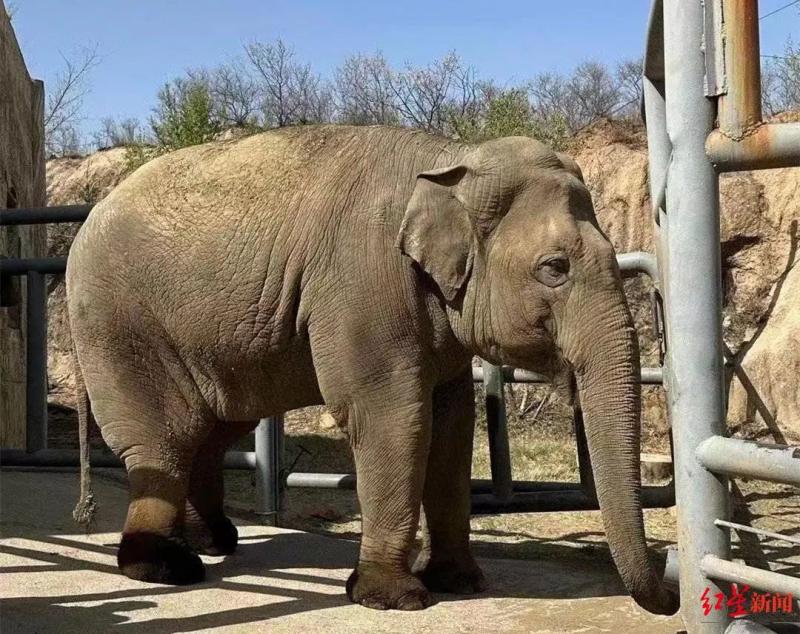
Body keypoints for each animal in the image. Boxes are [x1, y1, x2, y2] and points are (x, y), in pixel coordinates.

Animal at [66, 124, 677, 614]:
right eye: (554, 268)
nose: (671, 589)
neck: (454, 159)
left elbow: (452, 428)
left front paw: (460, 584)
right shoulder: (364, 287)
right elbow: (393, 417)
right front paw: (395, 599)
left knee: (215, 429)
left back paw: (216, 542)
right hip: (121, 328)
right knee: (164, 438)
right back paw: (164, 567)